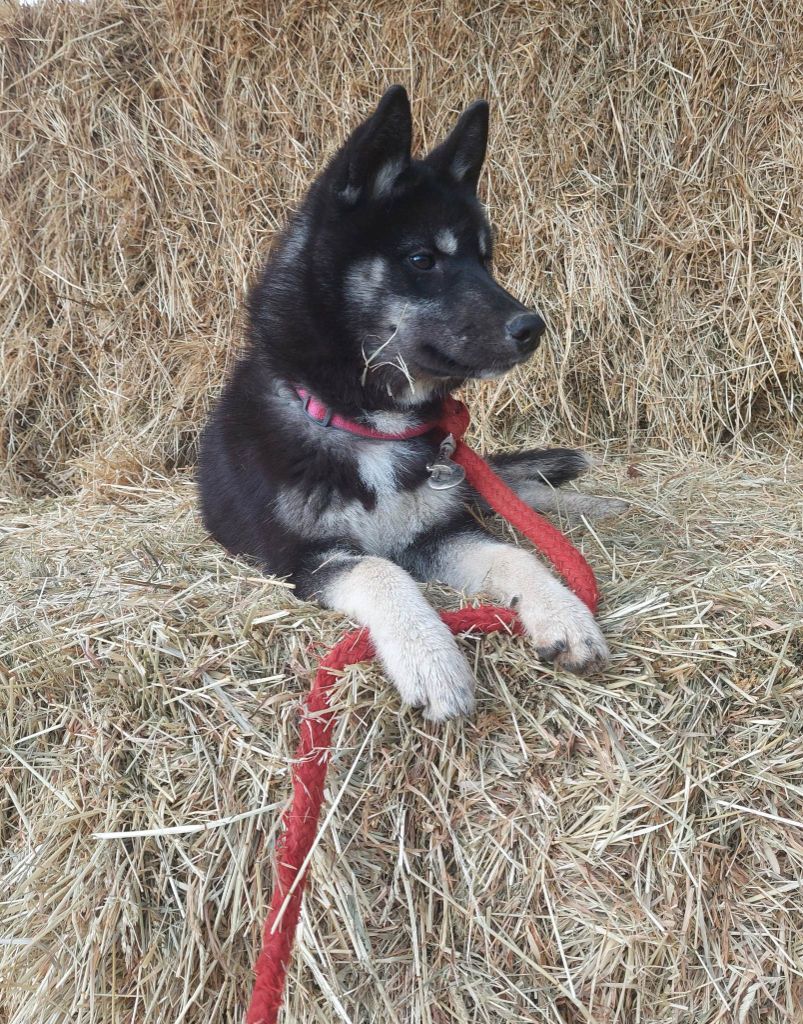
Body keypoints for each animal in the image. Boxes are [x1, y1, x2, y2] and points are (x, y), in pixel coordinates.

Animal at [198, 88, 622, 724]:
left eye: (485, 259)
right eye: (423, 260)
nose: (532, 328)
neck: (369, 425)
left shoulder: (439, 532)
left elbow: (515, 556)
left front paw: (564, 611)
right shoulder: (305, 558)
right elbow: (382, 571)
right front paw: (432, 659)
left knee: (511, 493)